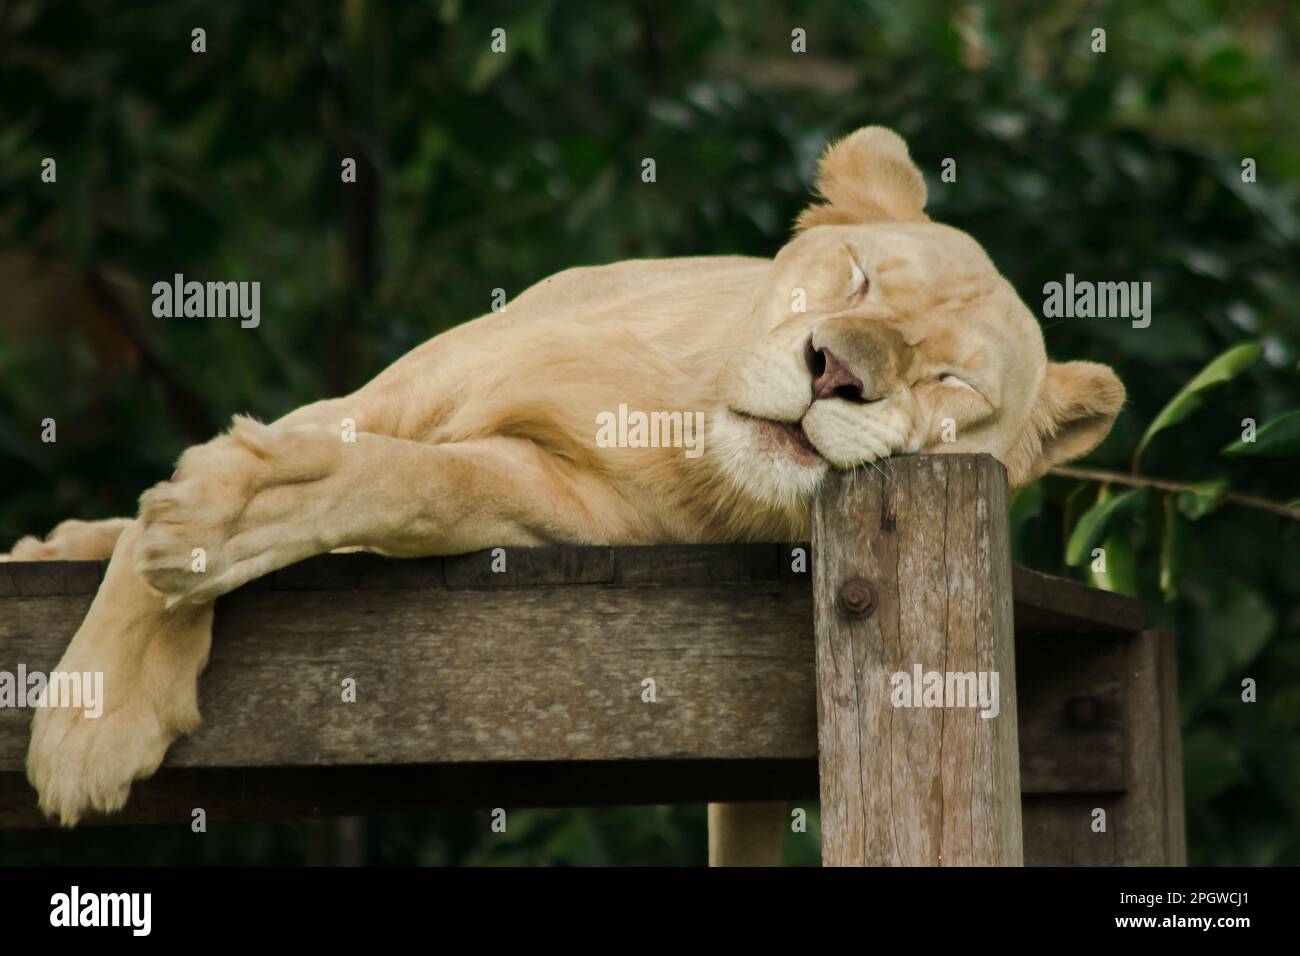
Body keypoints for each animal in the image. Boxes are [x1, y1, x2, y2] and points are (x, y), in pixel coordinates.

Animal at [5, 126, 1124, 865]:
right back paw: (53, 544)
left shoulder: (557, 505)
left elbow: (409, 484)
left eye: (953, 382)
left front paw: (223, 520)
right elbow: (264, 476)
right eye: (856, 277)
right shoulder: (398, 391)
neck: (682, 419)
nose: (835, 372)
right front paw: (99, 706)